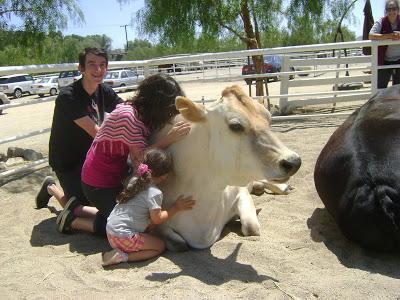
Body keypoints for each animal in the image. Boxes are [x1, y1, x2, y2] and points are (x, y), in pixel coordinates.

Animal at [153, 85, 300, 250]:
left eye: (268, 118)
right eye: (235, 126)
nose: (294, 161)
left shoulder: (240, 192)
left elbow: (251, 228)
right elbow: (179, 244)